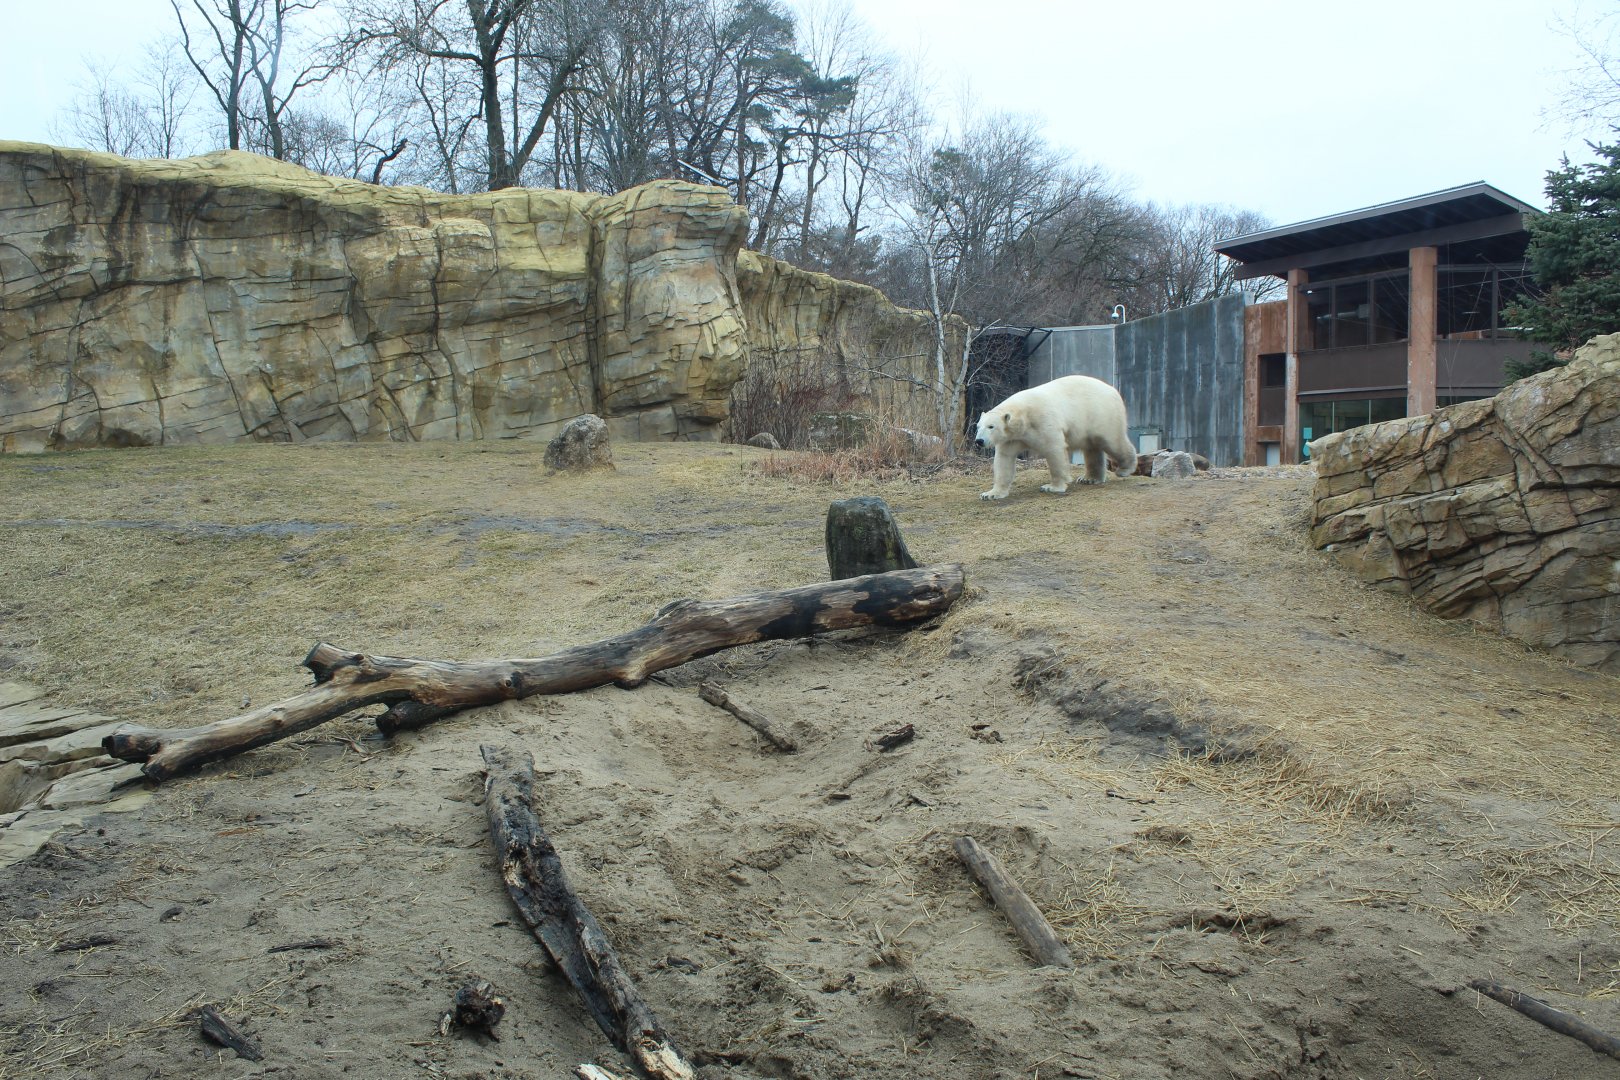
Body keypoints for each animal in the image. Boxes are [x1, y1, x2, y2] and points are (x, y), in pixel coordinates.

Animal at [974, 375, 1136, 500]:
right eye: (978, 426)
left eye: (991, 426)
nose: (979, 441)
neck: (1023, 416)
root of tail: (1113, 389)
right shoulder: (1012, 438)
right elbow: (1004, 460)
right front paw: (990, 494)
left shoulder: (1043, 421)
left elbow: (1054, 450)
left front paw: (1051, 487)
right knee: (1092, 447)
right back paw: (1089, 479)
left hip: (1101, 414)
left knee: (1112, 441)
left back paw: (1124, 469)